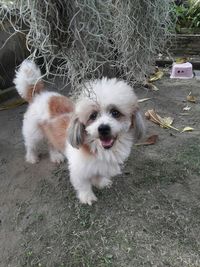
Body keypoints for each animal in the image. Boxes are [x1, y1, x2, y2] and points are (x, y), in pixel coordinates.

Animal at [14, 60, 145, 206]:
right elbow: (83, 185)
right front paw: (87, 197)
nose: (103, 128)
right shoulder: (78, 170)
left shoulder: (99, 165)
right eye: (93, 116)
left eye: (115, 113)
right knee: (31, 145)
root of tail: (39, 95)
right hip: (33, 133)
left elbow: (99, 174)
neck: (98, 147)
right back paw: (32, 158)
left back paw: (55, 156)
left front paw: (100, 182)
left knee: (51, 144)